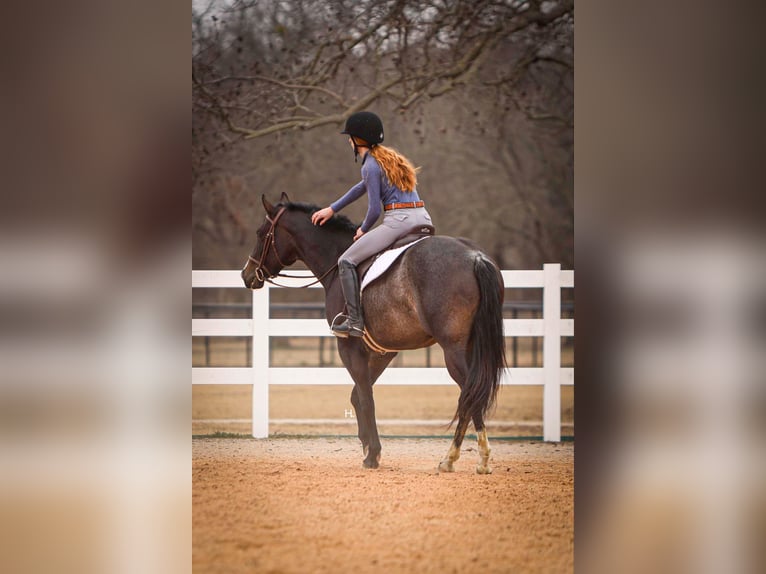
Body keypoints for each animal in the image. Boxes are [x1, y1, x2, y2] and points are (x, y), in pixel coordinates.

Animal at [242, 192, 506, 473]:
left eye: (260, 233)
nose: (246, 275)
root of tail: (475, 257)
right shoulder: (382, 352)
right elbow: (358, 396)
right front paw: (368, 446)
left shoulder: (349, 348)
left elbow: (365, 398)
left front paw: (372, 454)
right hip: (469, 347)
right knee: (471, 394)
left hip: (452, 350)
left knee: (469, 393)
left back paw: (464, 457)